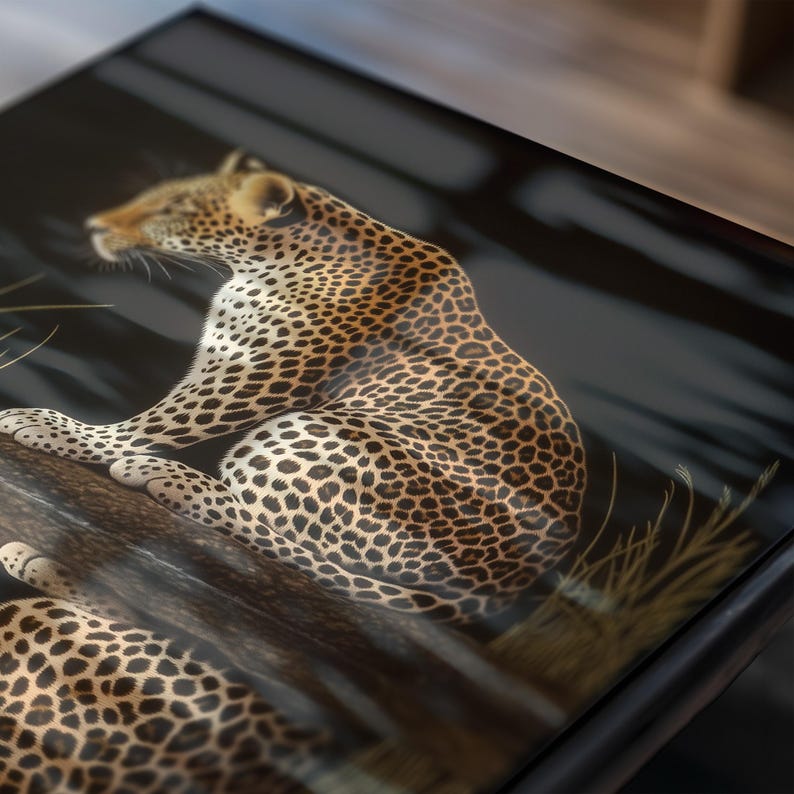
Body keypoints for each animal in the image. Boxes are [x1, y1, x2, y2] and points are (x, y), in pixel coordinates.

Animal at [0, 149, 587, 627]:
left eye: (175, 209)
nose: (94, 225)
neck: (269, 259)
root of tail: (504, 588)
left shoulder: (258, 373)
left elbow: (165, 419)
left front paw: (59, 432)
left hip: (312, 434)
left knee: (280, 538)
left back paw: (175, 480)